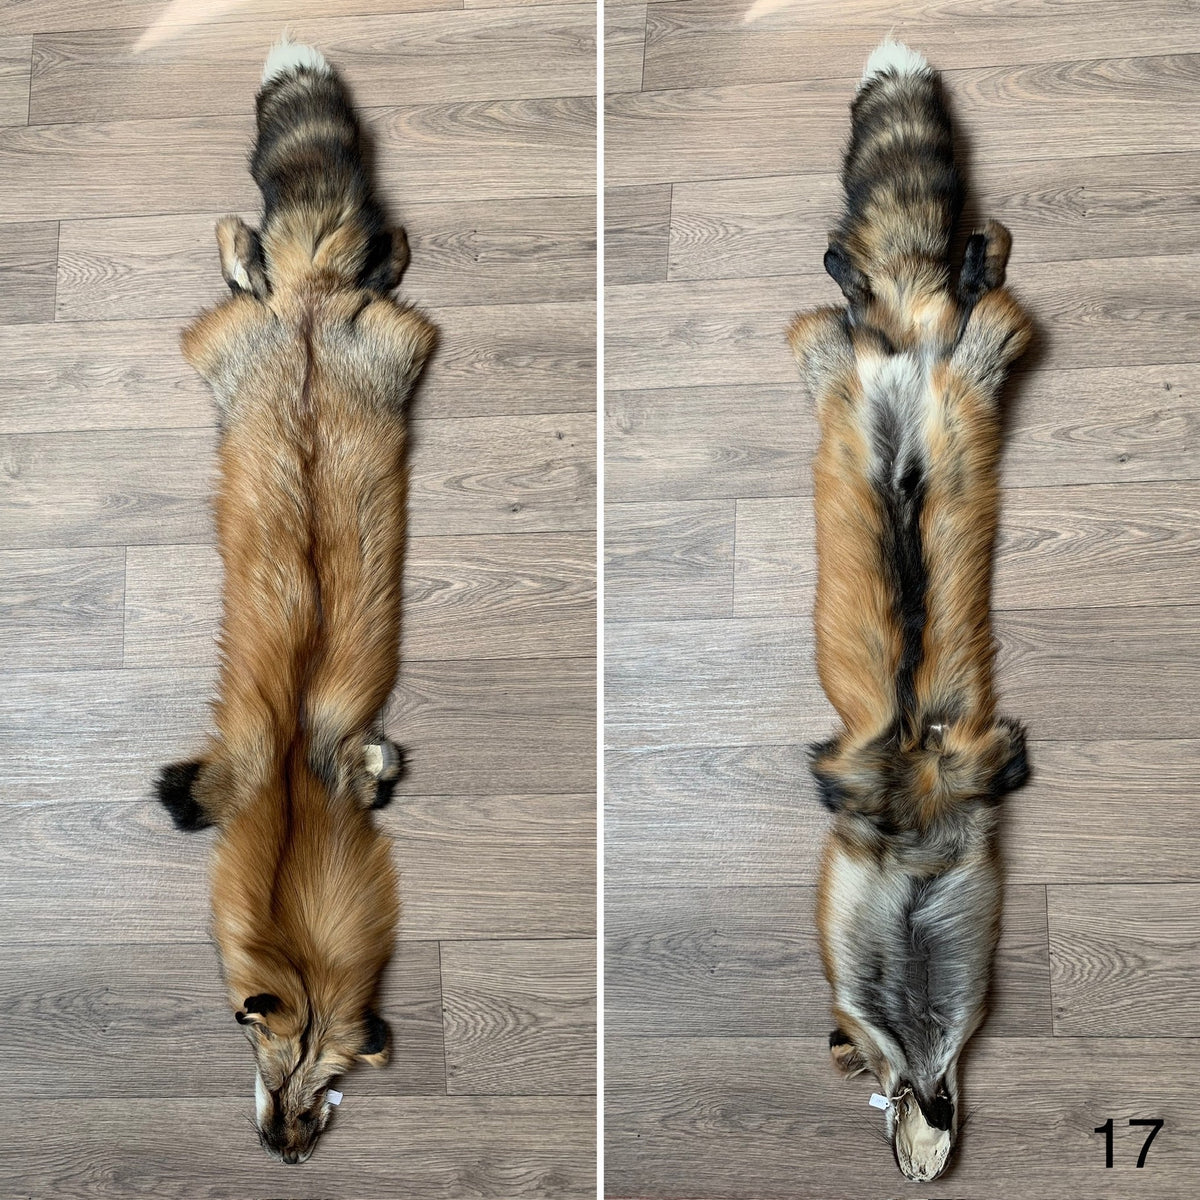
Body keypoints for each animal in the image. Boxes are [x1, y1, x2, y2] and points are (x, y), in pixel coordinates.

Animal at [153, 37, 436, 1163]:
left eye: (326, 1090)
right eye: (276, 1077)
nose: (285, 1152)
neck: (286, 804)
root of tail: (313, 311)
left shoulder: (324, 762)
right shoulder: (235, 773)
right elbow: (181, 798)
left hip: (377, 341)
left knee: (315, 261)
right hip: (257, 338)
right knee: (265, 256)